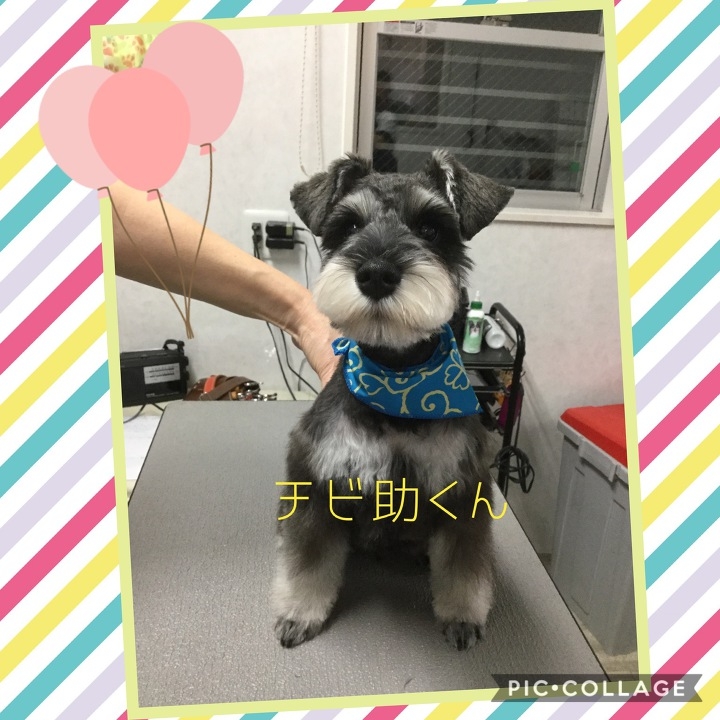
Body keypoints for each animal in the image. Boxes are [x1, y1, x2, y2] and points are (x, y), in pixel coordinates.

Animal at [272, 149, 513, 651]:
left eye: (430, 228)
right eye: (348, 226)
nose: (376, 274)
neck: (399, 383)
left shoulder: (465, 489)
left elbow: (464, 566)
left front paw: (462, 616)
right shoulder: (316, 479)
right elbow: (306, 558)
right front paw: (299, 612)